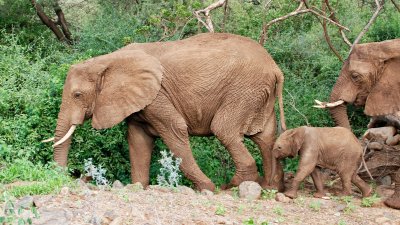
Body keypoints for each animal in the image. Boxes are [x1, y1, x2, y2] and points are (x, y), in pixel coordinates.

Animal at [49, 33, 288, 192]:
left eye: (77, 95)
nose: (76, 177)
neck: (106, 60)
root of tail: (275, 67)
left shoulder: (157, 96)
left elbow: (174, 130)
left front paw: (207, 188)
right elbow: (138, 140)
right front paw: (138, 187)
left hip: (244, 90)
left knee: (224, 129)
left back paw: (231, 187)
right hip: (258, 93)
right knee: (265, 137)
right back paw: (271, 187)